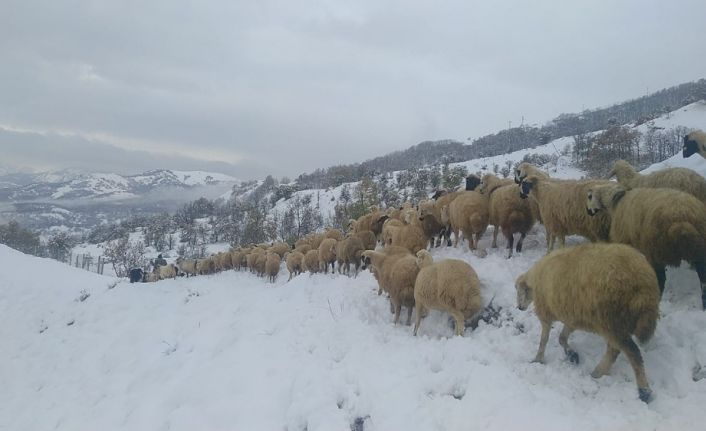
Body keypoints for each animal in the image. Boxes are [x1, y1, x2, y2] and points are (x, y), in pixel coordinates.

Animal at [512, 245, 660, 404]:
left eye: (519, 291)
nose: (519, 307)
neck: (536, 279)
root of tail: (645, 285)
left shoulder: (546, 313)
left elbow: (544, 340)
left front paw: (538, 359)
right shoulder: (571, 316)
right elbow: (562, 338)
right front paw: (572, 355)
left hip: (612, 321)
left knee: (632, 353)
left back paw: (644, 391)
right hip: (616, 323)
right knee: (615, 350)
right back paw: (598, 373)